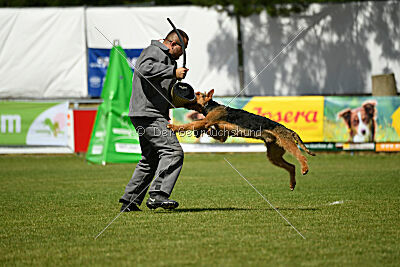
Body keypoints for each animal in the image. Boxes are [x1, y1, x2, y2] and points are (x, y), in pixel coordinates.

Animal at [167, 90, 314, 191]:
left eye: (197, 94)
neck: (211, 106)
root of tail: (289, 130)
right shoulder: (222, 134)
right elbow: (208, 130)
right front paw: (201, 131)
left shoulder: (207, 120)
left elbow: (191, 124)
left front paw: (173, 127)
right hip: (274, 155)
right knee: (291, 166)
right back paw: (292, 184)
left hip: (287, 144)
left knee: (301, 157)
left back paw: (305, 169)